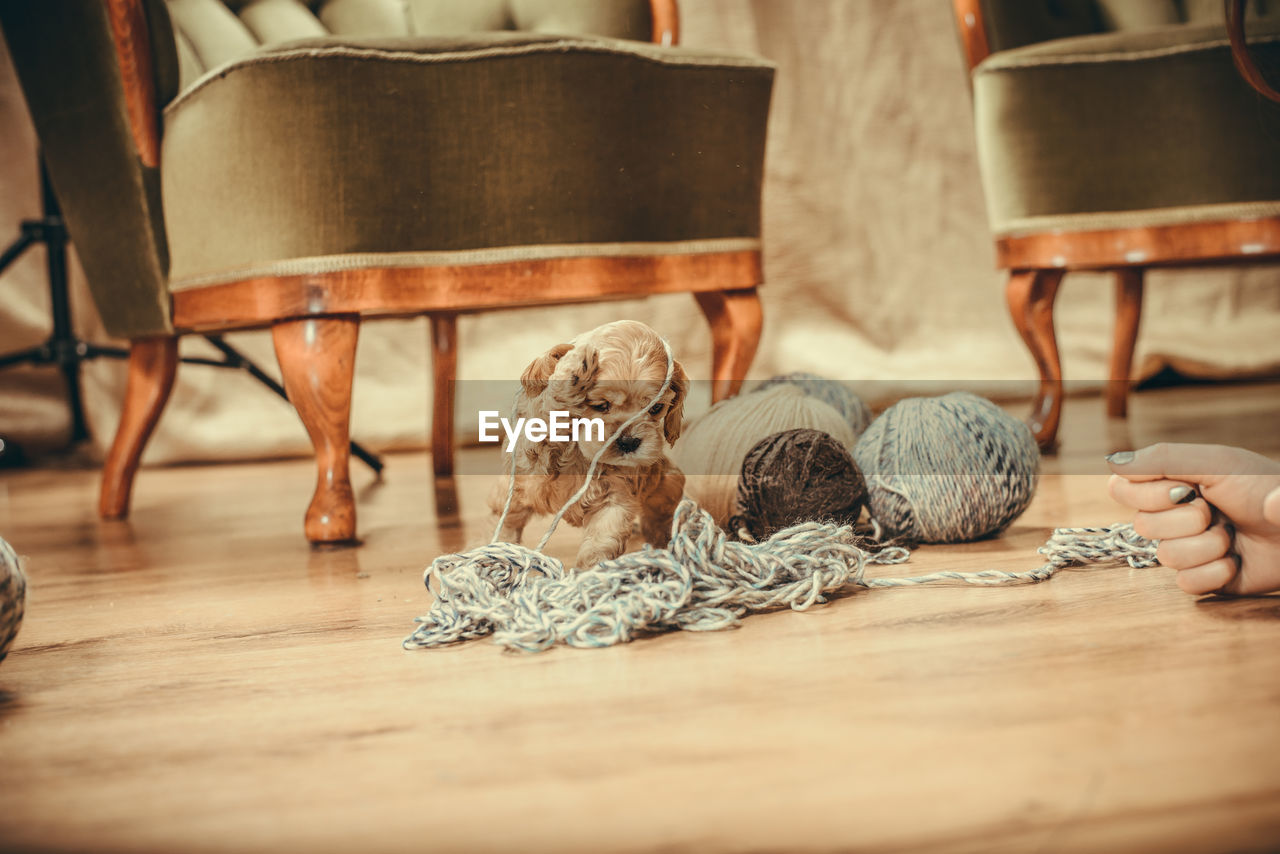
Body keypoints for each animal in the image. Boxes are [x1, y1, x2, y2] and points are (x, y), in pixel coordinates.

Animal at [488, 320, 691, 568]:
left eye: (656, 408)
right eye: (600, 405)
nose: (629, 442)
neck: (581, 452)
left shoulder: (615, 497)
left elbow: (602, 540)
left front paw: (592, 572)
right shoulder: (532, 450)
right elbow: (549, 411)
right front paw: (573, 370)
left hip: (667, 482)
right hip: (513, 491)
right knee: (506, 519)